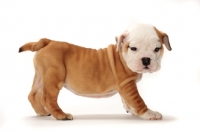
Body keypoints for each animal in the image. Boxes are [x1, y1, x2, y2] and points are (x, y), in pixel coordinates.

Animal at [19, 23, 172, 120]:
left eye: (157, 49)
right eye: (133, 48)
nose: (146, 59)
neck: (121, 55)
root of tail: (48, 41)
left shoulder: (125, 86)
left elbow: (128, 101)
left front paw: (133, 111)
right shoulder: (127, 84)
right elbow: (137, 100)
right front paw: (149, 114)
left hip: (41, 76)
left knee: (33, 95)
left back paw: (42, 112)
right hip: (54, 76)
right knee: (47, 98)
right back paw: (61, 115)